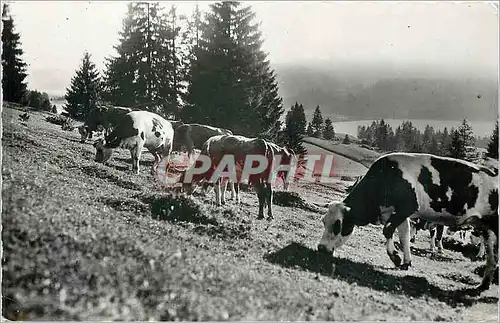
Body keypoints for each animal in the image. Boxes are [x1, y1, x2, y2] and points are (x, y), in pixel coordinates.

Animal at [318, 153, 498, 298]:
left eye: (338, 224)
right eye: (323, 221)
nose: (321, 248)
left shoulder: (407, 207)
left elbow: (388, 230)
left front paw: (395, 257)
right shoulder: (398, 213)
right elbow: (404, 235)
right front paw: (406, 261)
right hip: (487, 228)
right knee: (492, 257)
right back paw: (483, 284)